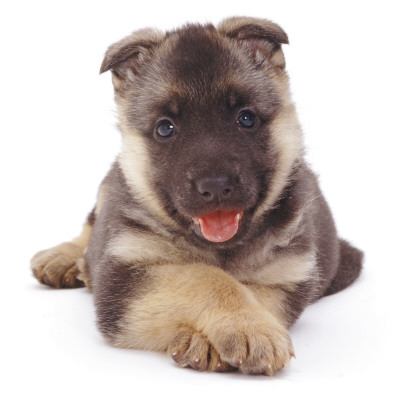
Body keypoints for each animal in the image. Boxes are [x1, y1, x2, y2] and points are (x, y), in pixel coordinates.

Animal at [31, 18, 362, 376]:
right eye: (165, 128)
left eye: (246, 118)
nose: (215, 187)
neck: (221, 250)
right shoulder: (125, 278)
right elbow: (201, 276)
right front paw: (247, 328)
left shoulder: (285, 279)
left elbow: (250, 290)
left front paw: (225, 334)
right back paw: (64, 256)